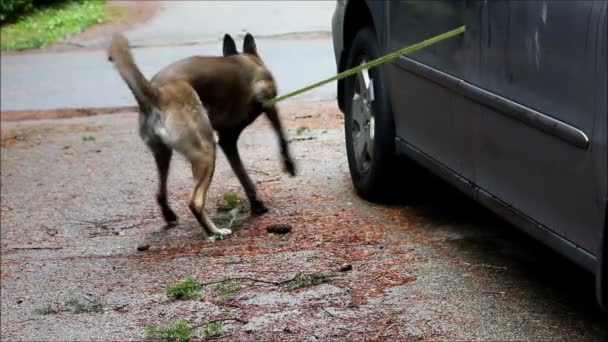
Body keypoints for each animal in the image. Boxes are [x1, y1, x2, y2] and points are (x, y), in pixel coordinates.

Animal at [107, 35, 230, 235]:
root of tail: (157, 94)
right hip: (205, 151)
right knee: (195, 202)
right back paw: (215, 231)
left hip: (163, 153)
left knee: (160, 193)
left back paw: (169, 216)